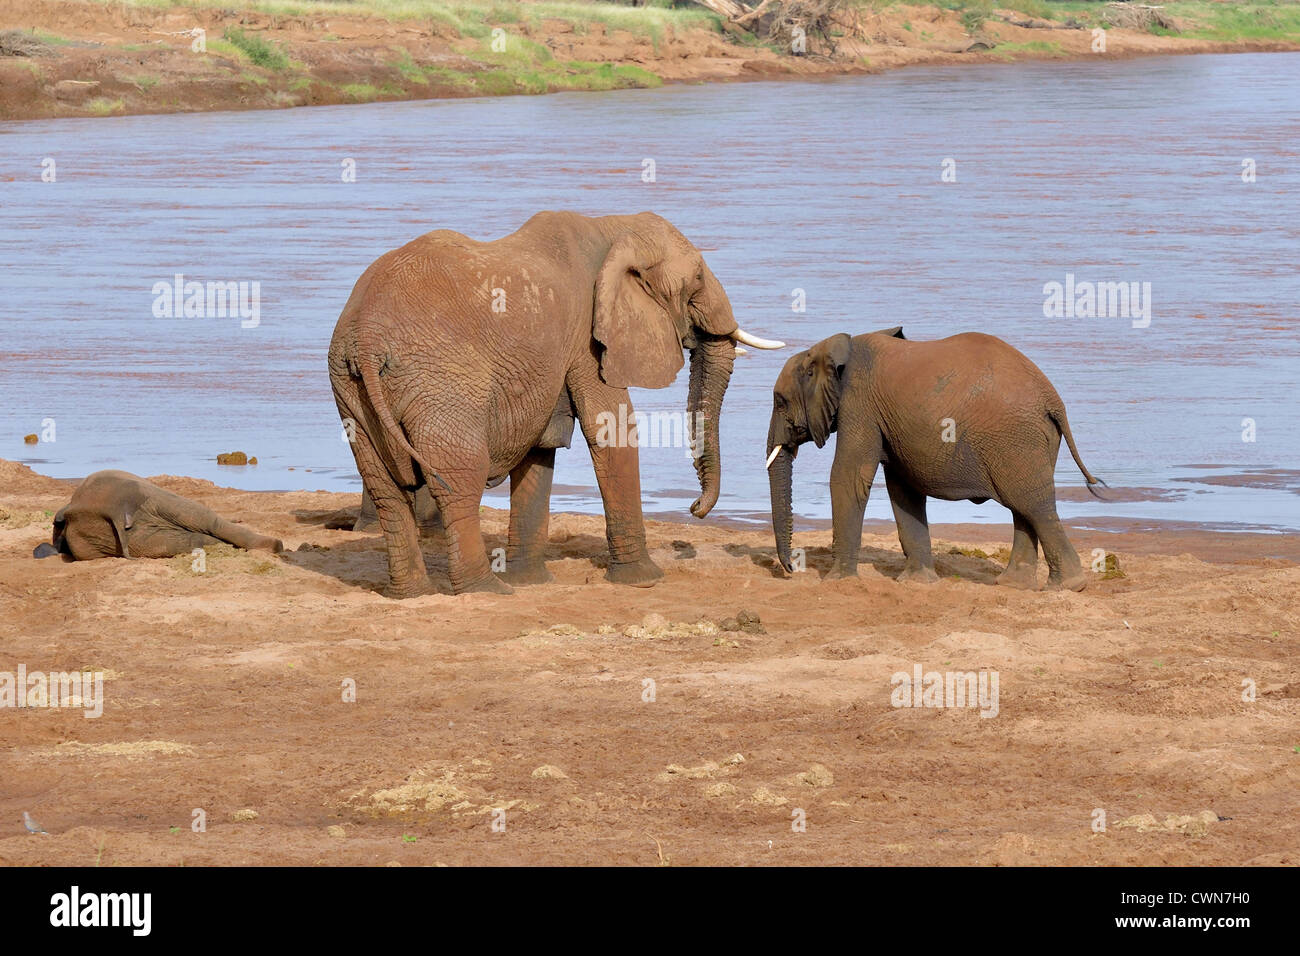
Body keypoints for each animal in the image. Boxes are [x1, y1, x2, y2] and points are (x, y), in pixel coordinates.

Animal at [332, 213, 780, 595]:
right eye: (698, 278)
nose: (694, 508)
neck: (613, 228)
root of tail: (366, 338)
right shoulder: (589, 337)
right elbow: (611, 429)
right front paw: (645, 580)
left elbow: (541, 448)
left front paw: (532, 581)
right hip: (443, 380)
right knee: (459, 479)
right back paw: (487, 590)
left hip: (351, 392)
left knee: (386, 489)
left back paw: (413, 593)